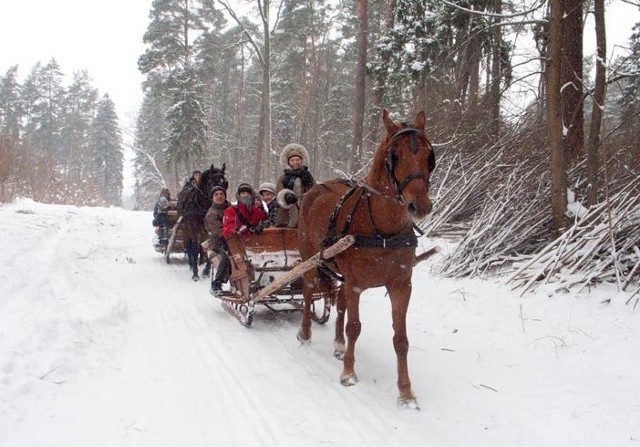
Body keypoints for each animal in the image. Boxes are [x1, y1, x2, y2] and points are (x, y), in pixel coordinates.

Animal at [298, 109, 432, 410]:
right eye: (395, 155)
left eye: (429, 154)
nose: (419, 205)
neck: (383, 228)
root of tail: (318, 188)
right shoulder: (357, 283)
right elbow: (355, 327)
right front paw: (348, 373)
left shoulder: (401, 285)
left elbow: (401, 339)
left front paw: (406, 393)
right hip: (310, 258)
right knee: (309, 292)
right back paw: (305, 333)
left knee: (340, 303)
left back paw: (337, 344)